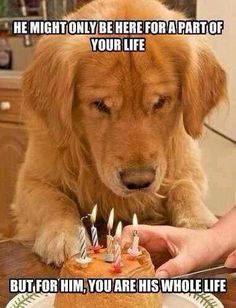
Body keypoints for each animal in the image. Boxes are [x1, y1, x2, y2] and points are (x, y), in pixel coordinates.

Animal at [12, 0, 226, 264]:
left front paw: (198, 223)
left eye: (160, 102)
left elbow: (184, 187)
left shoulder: (189, 170)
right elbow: (56, 200)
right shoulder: (30, 181)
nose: (139, 182)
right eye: (100, 104)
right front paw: (63, 234)